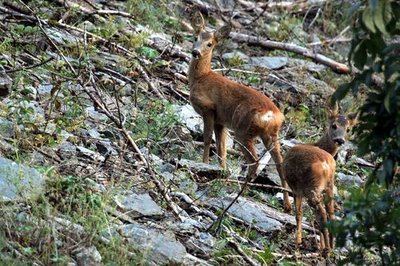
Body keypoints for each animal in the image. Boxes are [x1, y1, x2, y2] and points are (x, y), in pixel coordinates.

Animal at [188, 11, 290, 212]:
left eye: (209, 44)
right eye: (195, 38)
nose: (195, 52)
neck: (201, 78)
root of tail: (274, 116)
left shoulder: (209, 109)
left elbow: (207, 140)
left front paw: (204, 164)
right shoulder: (221, 121)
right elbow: (222, 149)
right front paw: (221, 173)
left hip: (244, 130)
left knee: (255, 160)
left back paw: (243, 189)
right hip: (270, 135)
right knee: (279, 163)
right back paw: (287, 206)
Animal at [282, 103, 358, 252]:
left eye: (348, 129)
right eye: (334, 125)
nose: (340, 140)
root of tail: (326, 165)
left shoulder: (297, 189)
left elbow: (299, 214)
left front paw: (298, 242)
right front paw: (319, 245)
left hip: (311, 188)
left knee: (322, 215)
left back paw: (326, 250)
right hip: (329, 186)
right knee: (331, 215)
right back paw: (330, 247)